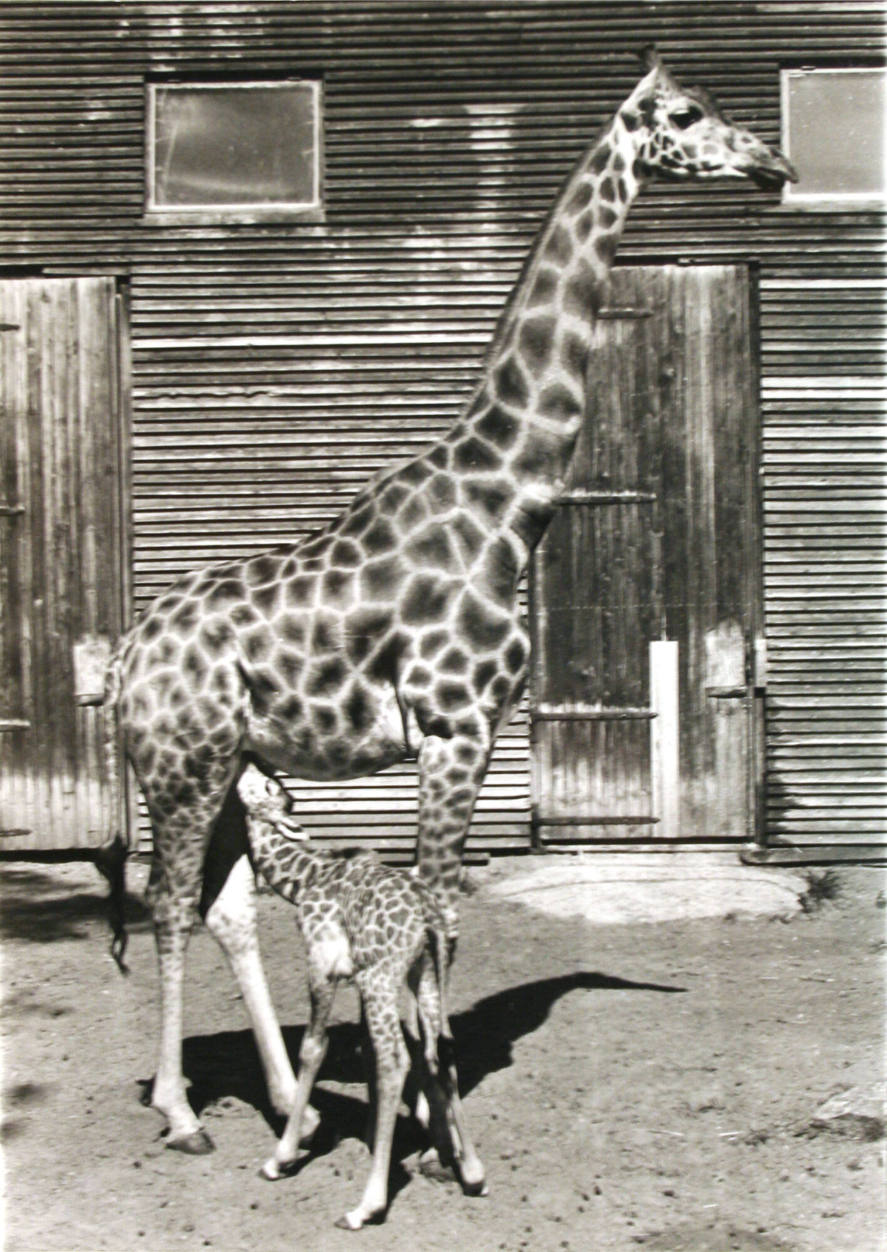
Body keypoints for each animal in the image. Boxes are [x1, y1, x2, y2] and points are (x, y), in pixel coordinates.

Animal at [105, 48, 796, 1146]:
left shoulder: (462, 731)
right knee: (169, 904)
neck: (502, 501)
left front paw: (427, 1104)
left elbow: (438, 915)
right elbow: (438, 912)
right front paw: (438, 1119)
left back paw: (284, 1101)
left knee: (221, 908)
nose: (772, 163)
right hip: (183, 764)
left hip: (233, 768)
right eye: (688, 113)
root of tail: (128, 653)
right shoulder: (452, 726)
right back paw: (181, 1110)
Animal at [235, 761, 486, 1231]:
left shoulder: (323, 964)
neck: (307, 879)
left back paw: (366, 1206)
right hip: (423, 975)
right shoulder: (356, 976)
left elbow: (313, 1049)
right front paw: (371, 1138)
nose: (250, 765)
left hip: (382, 977)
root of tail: (427, 918)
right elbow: (366, 1050)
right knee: (440, 1048)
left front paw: (280, 1158)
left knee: (397, 1060)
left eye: (268, 787)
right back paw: (473, 1171)